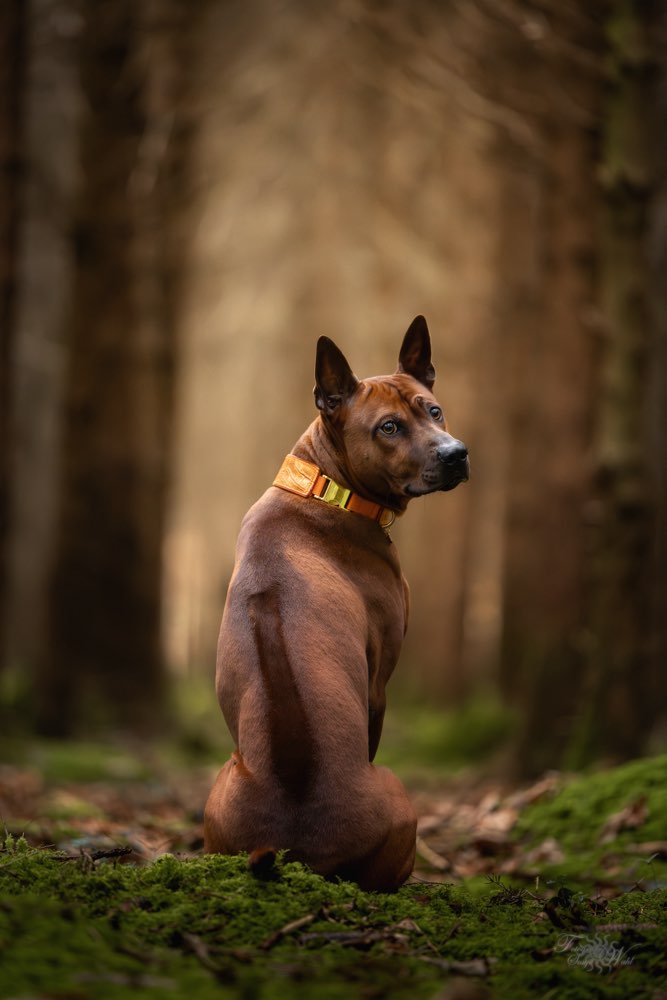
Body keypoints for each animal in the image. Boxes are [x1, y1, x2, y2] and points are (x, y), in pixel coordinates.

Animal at [204, 314, 470, 892]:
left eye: (433, 410)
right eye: (388, 428)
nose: (455, 453)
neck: (326, 488)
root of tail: (295, 847)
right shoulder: (379, 682)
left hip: (219, 790)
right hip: (396, 792)